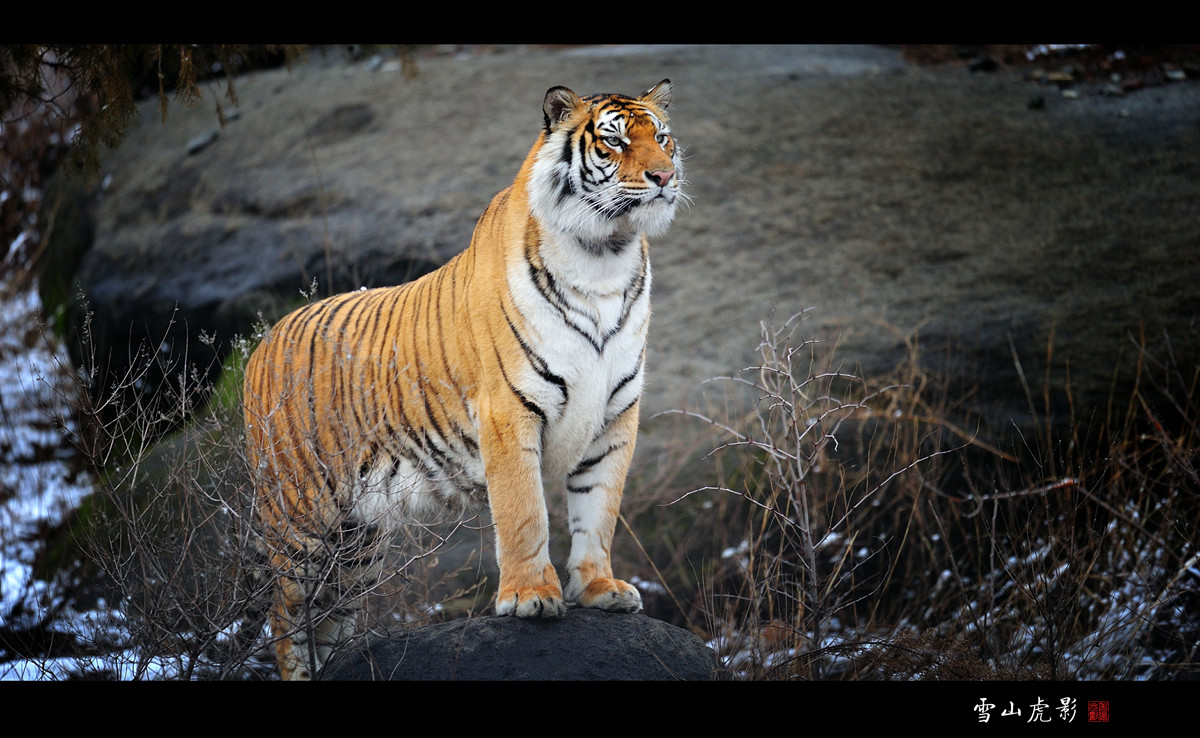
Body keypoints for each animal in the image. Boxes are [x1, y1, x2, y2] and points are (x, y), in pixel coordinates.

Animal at [243, 79, 686, 681]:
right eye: (614, 142)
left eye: (661, 138)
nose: (664, 177)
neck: (605, 257)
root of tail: (262, 344)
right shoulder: (509, 410)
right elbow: (525, 514)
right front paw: (530, 598)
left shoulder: (616, 415)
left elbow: (598, 511)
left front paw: (600, 590)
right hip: (301, 518)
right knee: (286, 617)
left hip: (356, 544)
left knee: (329, 619)